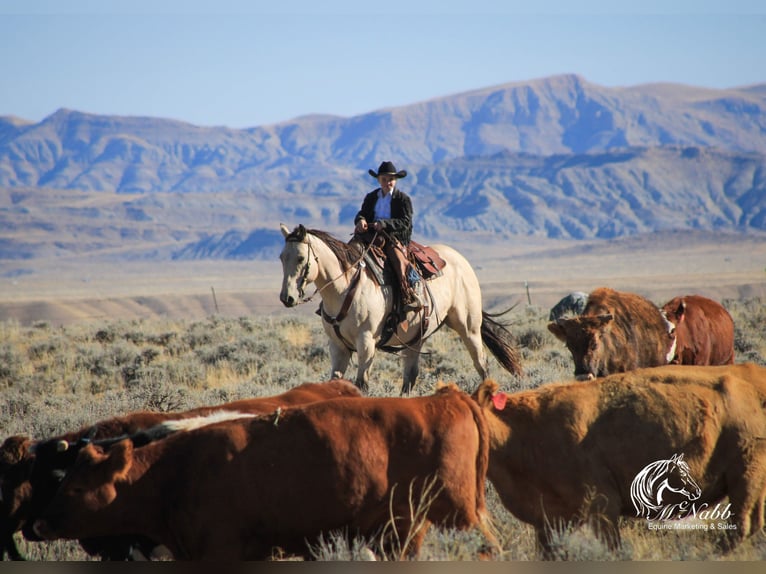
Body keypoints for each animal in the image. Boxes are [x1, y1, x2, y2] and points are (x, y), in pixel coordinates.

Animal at [276, 225, 520, 396]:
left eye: (301, 258)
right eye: (281, 257)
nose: (287, 298)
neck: (344, 288)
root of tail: (461, 260)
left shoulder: (366, 343)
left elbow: (361, 384)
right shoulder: (337, 346)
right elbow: (335, 384)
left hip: (468, 327)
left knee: (481, 364)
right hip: (416, 338)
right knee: (410, 376)